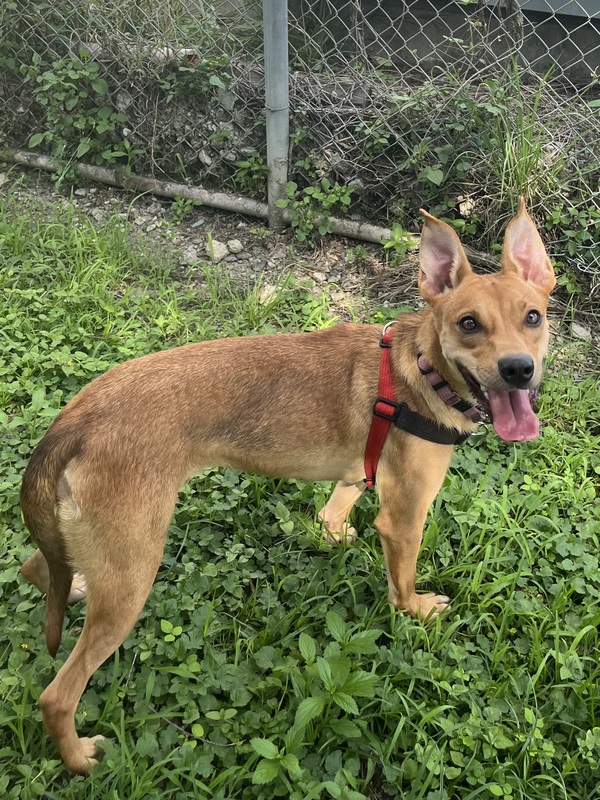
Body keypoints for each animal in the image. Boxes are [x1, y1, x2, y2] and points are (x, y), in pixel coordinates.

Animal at [20, 199, 555, 773]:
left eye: (533, 317)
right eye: (468, 323)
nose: (518, 369)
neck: (421, 367)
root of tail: (75, 420)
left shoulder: (359, 475)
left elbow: (334, 510)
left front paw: (334, 535)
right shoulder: (404, 519)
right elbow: (403, 583)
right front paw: (415, 609)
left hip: (96, 548)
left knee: (35, 567)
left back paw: (72, 588)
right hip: (133, 573)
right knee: (55, 696)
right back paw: (79, 758)